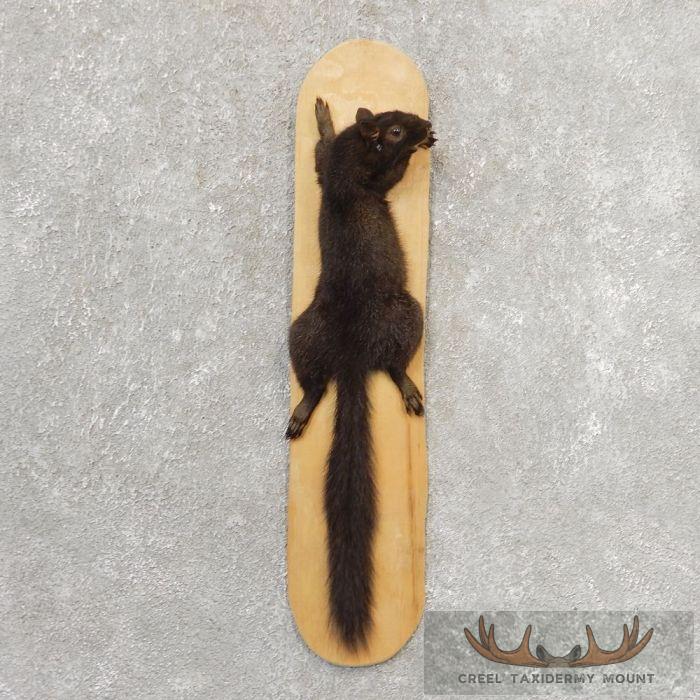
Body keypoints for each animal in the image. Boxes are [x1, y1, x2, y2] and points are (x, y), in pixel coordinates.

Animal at [286, 98, 435, 650]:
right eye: (392, 130)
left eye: (398, 113)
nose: (425, 125)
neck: (353, 152)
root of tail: (351, 355)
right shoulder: (363, 179)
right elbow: (390, 177)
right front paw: (417, 149)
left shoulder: (327, 167)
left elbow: (317, 153)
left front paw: (325, 118)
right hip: (405, 314)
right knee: (391, 365)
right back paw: (407, 386)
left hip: (303, 335)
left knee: (317, 381)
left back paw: (304, 407)